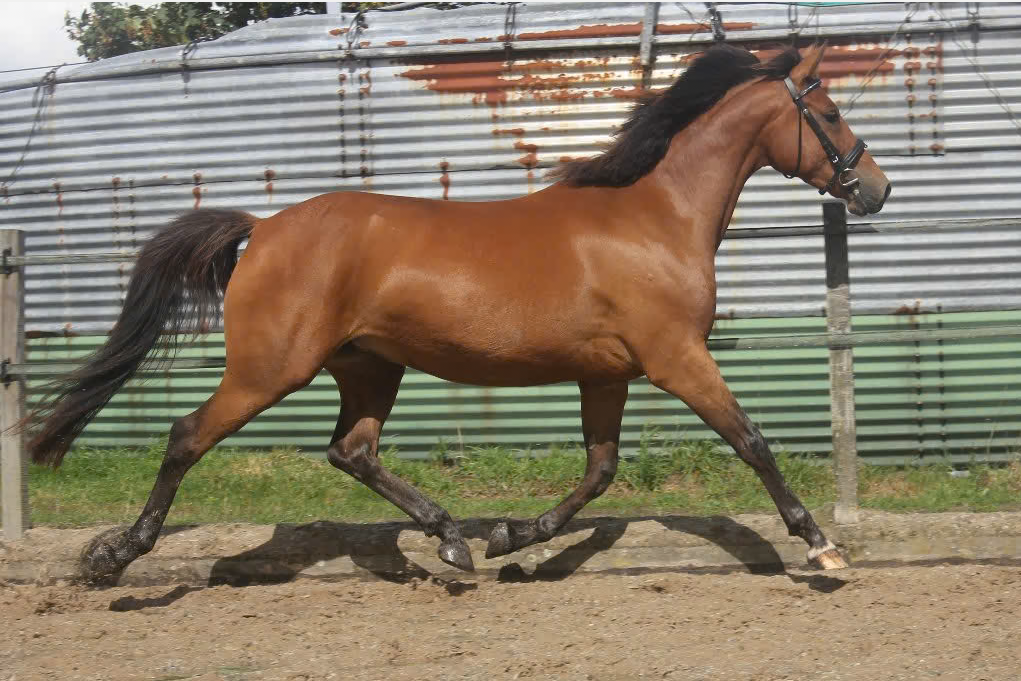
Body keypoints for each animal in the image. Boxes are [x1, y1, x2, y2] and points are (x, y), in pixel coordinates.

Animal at [27, 43, 890, 583]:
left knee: (352, 451)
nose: (875, 188)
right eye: (830, 112)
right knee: (187, 436)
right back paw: (116, 556)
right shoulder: (677, 358)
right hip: (271, 368)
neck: (656, 215)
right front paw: (821, 547)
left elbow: (599, 471)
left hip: (369, 366)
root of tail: (263, 228)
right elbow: (752, 441)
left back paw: (451, 542)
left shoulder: (607, 374)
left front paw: (512, 537)